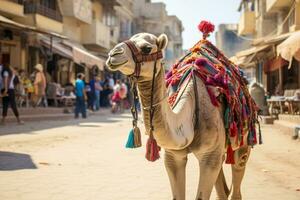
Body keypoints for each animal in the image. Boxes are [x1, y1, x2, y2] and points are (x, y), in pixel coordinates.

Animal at [106, 32, 252, 200]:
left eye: (147, 48)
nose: (113, 54)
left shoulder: (209, 156)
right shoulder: (173, 157)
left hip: (243, 140)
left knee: (239, 167)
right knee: (222, 187)